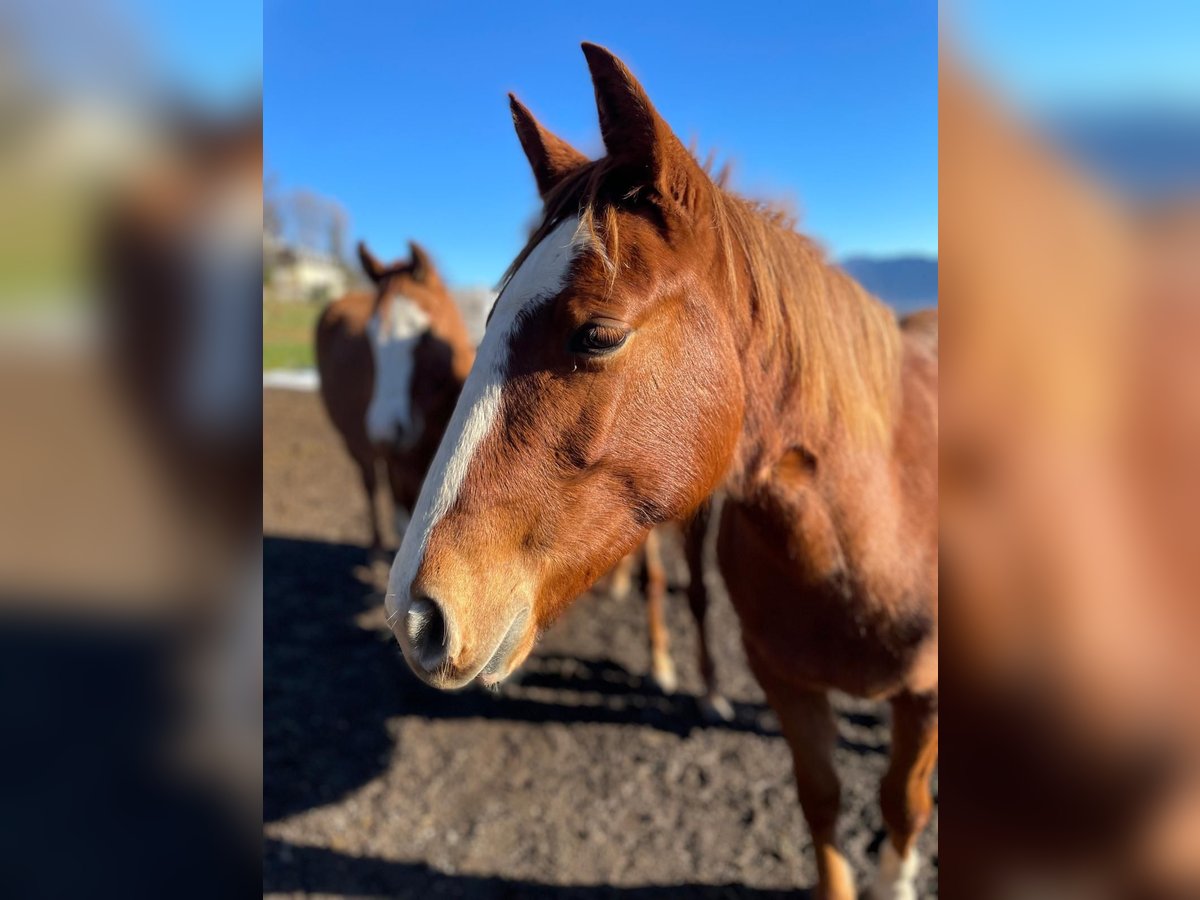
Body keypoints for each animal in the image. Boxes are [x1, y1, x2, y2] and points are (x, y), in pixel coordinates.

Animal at [384, 44, 936, 900]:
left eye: (598, 334)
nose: (416, 615)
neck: (864, 533)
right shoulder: (786, 683)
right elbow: (822, 802)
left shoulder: (925, 700)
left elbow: (903, 812)